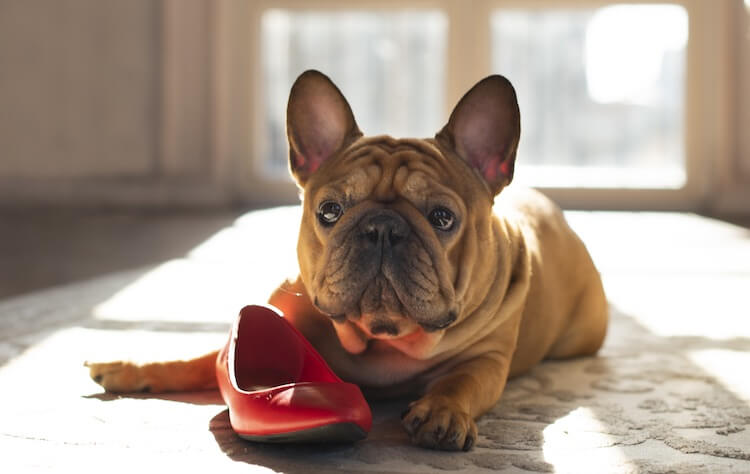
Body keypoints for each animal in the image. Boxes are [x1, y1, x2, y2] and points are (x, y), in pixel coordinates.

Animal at [85, 70, 608, 452]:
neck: (381, 338)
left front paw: (442, 411)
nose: (382, 229)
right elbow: (197, 358)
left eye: (442, 218)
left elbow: (462, 382)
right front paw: (137, 366)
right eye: (330, 211)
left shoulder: (488, 359)